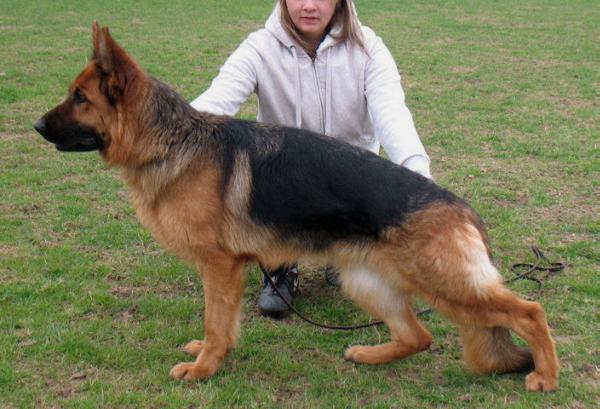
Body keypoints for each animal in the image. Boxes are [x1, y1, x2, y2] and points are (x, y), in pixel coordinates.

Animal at [34, 23, 556, 390]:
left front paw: (204, 369)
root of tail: (461, 209)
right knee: (418, 337)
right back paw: (368, 355)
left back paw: (546, 376)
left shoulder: (221, 267)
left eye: (79, 98)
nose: (36, 126)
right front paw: (208, 355)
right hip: (367, 281)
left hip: (446, 285)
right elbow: (218, 324)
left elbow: (217, 322)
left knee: (528, 312)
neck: (172, 141)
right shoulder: (224, 270)